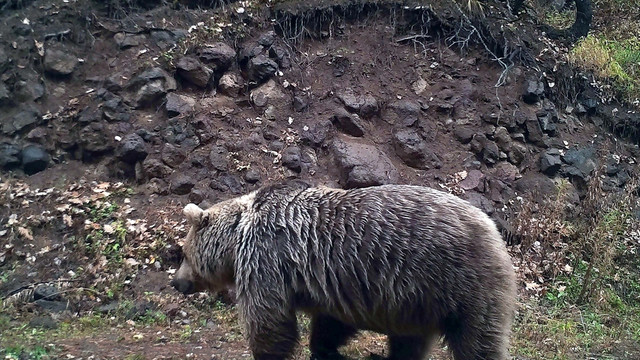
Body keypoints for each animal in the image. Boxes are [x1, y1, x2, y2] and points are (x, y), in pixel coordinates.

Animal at [171, 180, 520, 360]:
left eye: (183, 253)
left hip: (462, 282)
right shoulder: (336, 284)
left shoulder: (266, 258)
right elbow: (331, 324)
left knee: (477, 341)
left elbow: (269, 320)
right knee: (410, 341)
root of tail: (495, 231)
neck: (238, 235)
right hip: (419, 301)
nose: (177, 283)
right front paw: (325, 349)